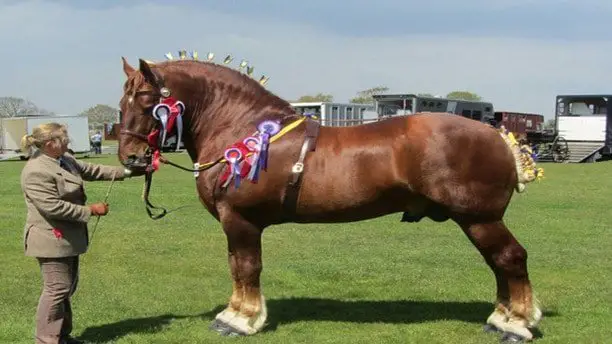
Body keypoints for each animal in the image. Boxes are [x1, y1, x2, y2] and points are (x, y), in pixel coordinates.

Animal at [117, 57, 544, 342]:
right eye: (122, 103)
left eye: (146, 100)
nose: (131, 159)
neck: (243, 129)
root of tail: (497, 136)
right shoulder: (234, 223)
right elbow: (236, 267)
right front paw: (236, 313)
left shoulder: (240, 220)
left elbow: (247, 268)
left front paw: (241, 319)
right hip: (477, 221)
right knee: (498, 264)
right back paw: (502, 319)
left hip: (480, 219)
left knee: (510, 259)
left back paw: (518, 323)